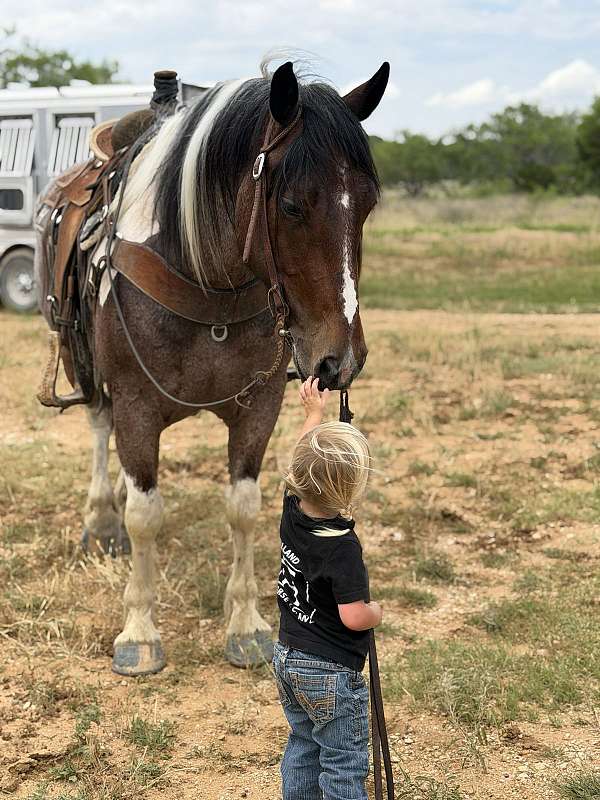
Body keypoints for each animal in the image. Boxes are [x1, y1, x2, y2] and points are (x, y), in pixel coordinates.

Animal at [35, 59, 389, 676]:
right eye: (291, 205)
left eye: (367, 204)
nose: (340, 357)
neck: (204, 281)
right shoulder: (135, 405)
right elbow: (145, 516)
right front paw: (139, 633)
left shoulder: (258, 410)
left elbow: (244, 509)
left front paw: (245, 626)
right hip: (89, 369)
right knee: (101, 432)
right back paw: (102, 519)